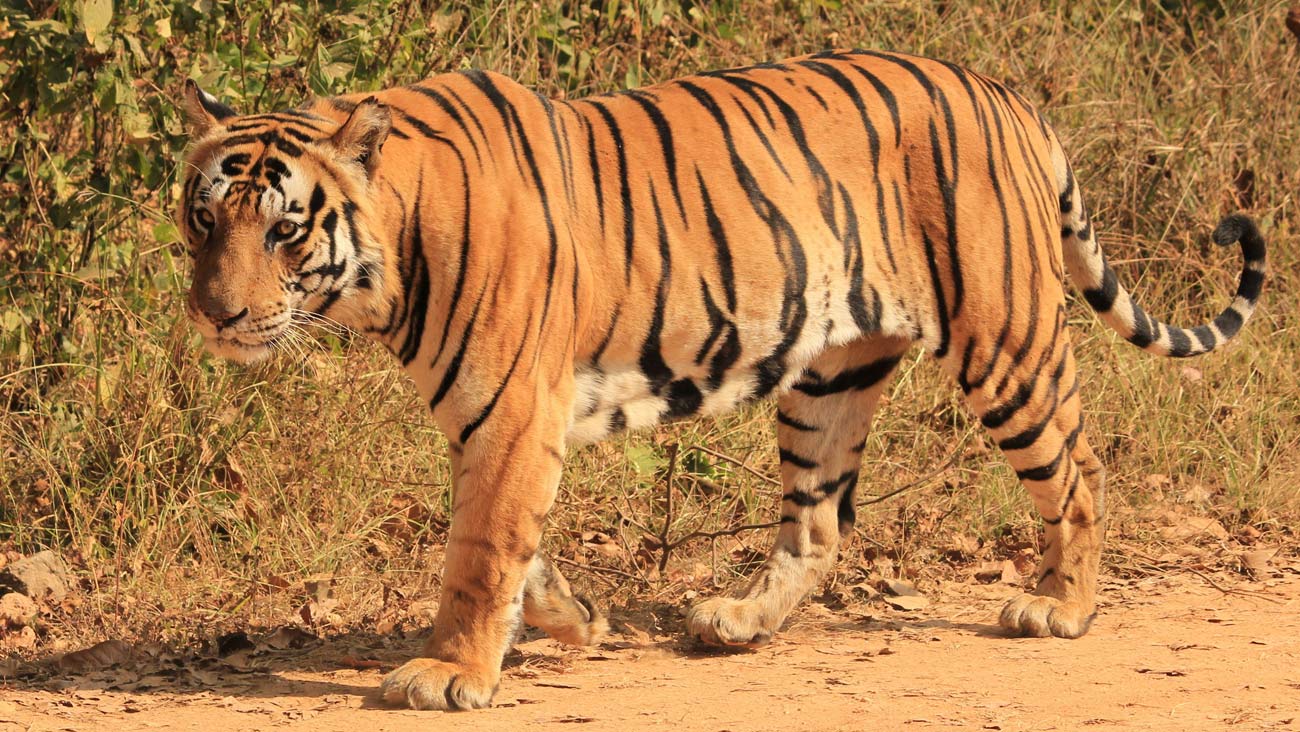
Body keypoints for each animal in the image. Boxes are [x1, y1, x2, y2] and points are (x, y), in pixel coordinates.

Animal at [178, 50, 1263, 712]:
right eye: (204, 218)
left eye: (284, 229)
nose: (215, 315)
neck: (388, 261)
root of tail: (1006, 95)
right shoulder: (500, 420)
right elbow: (518, 545)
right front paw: (574, 619)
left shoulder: (513, 409)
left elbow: (481, 551)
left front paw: (449, 671)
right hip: (828, 377)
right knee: (818, 525)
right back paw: (736, 623)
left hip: (1005, 340)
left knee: (1078, 470)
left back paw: (1061, 608)